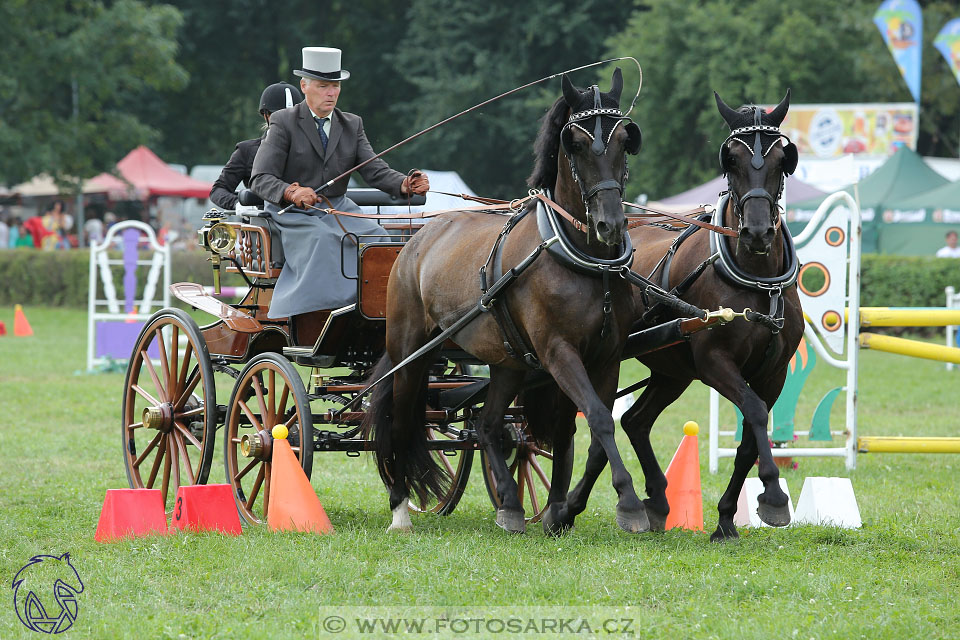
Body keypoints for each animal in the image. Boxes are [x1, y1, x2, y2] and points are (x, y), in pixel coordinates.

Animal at [564, 89, 804, 540]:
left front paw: (726, 517)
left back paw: (657, 501)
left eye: (784, 158)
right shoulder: (713, 362)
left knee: (635, 421)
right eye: (731, 159)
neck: (759, 279)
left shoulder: (775, 372)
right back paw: (573, 505)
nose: (758, 232)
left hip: (671, 369)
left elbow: (750, 437)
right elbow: (755, 413)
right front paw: (773, 495)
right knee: (613, 424)